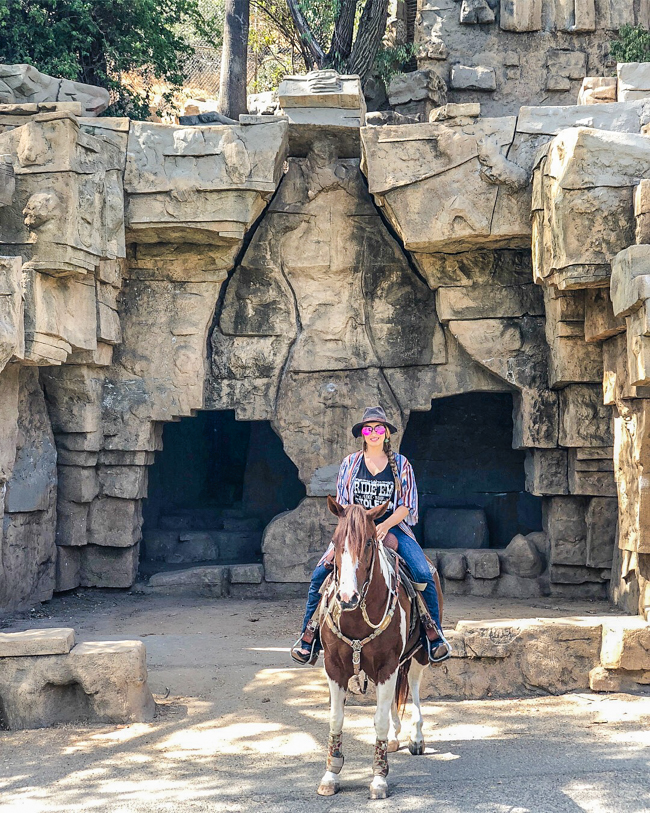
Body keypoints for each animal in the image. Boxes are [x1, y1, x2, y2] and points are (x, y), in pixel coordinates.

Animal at [316, 494, 436, 800]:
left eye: (369, 542)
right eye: (335, 541)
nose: (346, 597)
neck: (357, 616)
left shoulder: (387, 665)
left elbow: (379, 719)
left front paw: (379, 779)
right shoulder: (334, 666)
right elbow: (336, 719)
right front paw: (331, 775)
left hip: (419, 655)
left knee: (413, 687)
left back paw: (416, 737)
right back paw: (395, 738)